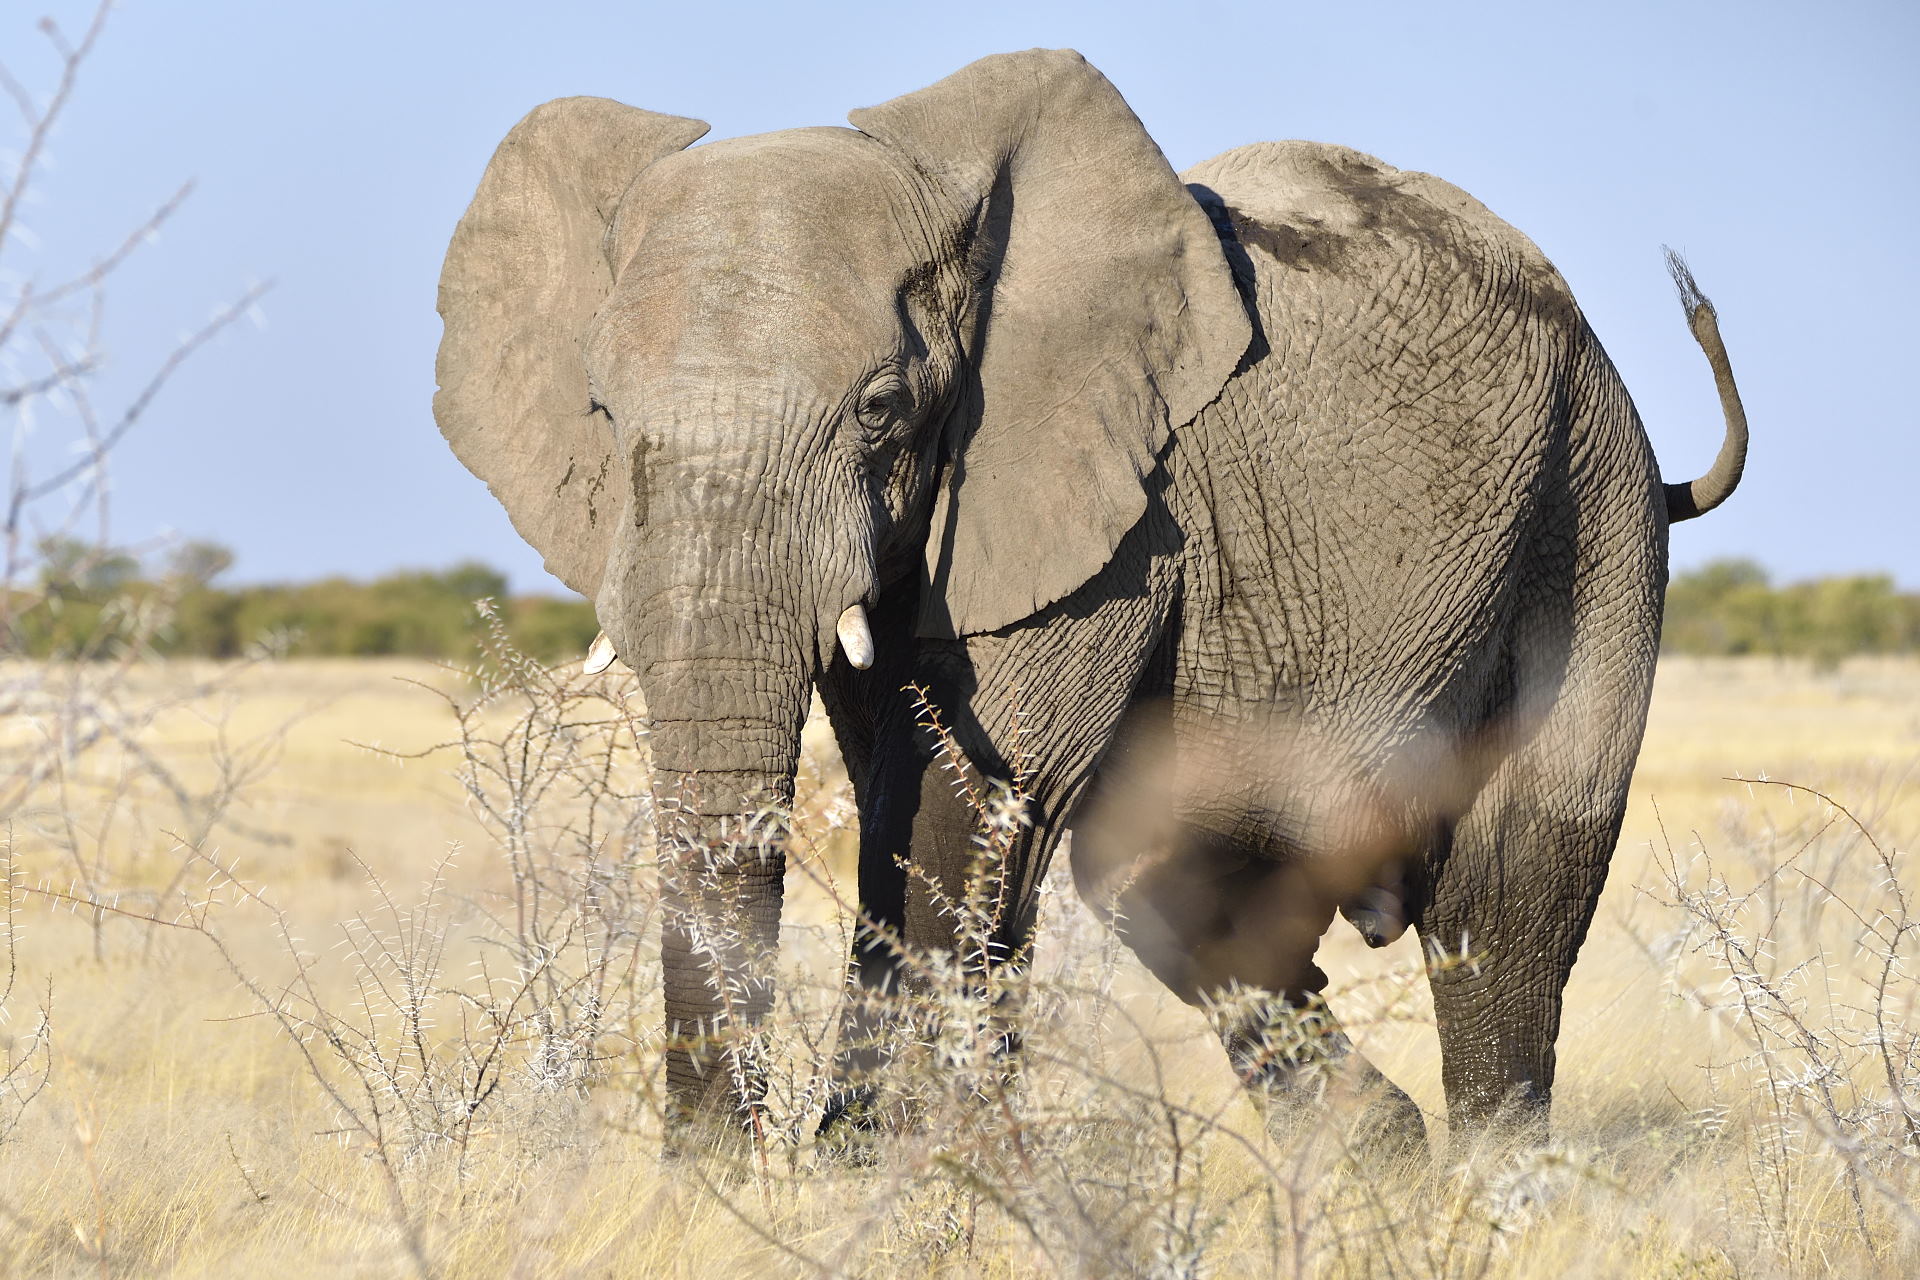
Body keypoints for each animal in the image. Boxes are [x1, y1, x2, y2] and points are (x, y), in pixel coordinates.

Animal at [433, 49, 1746, 1151]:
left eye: (880, 409)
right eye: (604, 414)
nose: (709, 1170)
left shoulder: (1117, 507)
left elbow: (962, 800)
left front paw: (887, 1178)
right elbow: (906, 785)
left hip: (1590, 513)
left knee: (1504, 905)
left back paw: (1491, 1184)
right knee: (1168, 877)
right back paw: (1377, 1158)